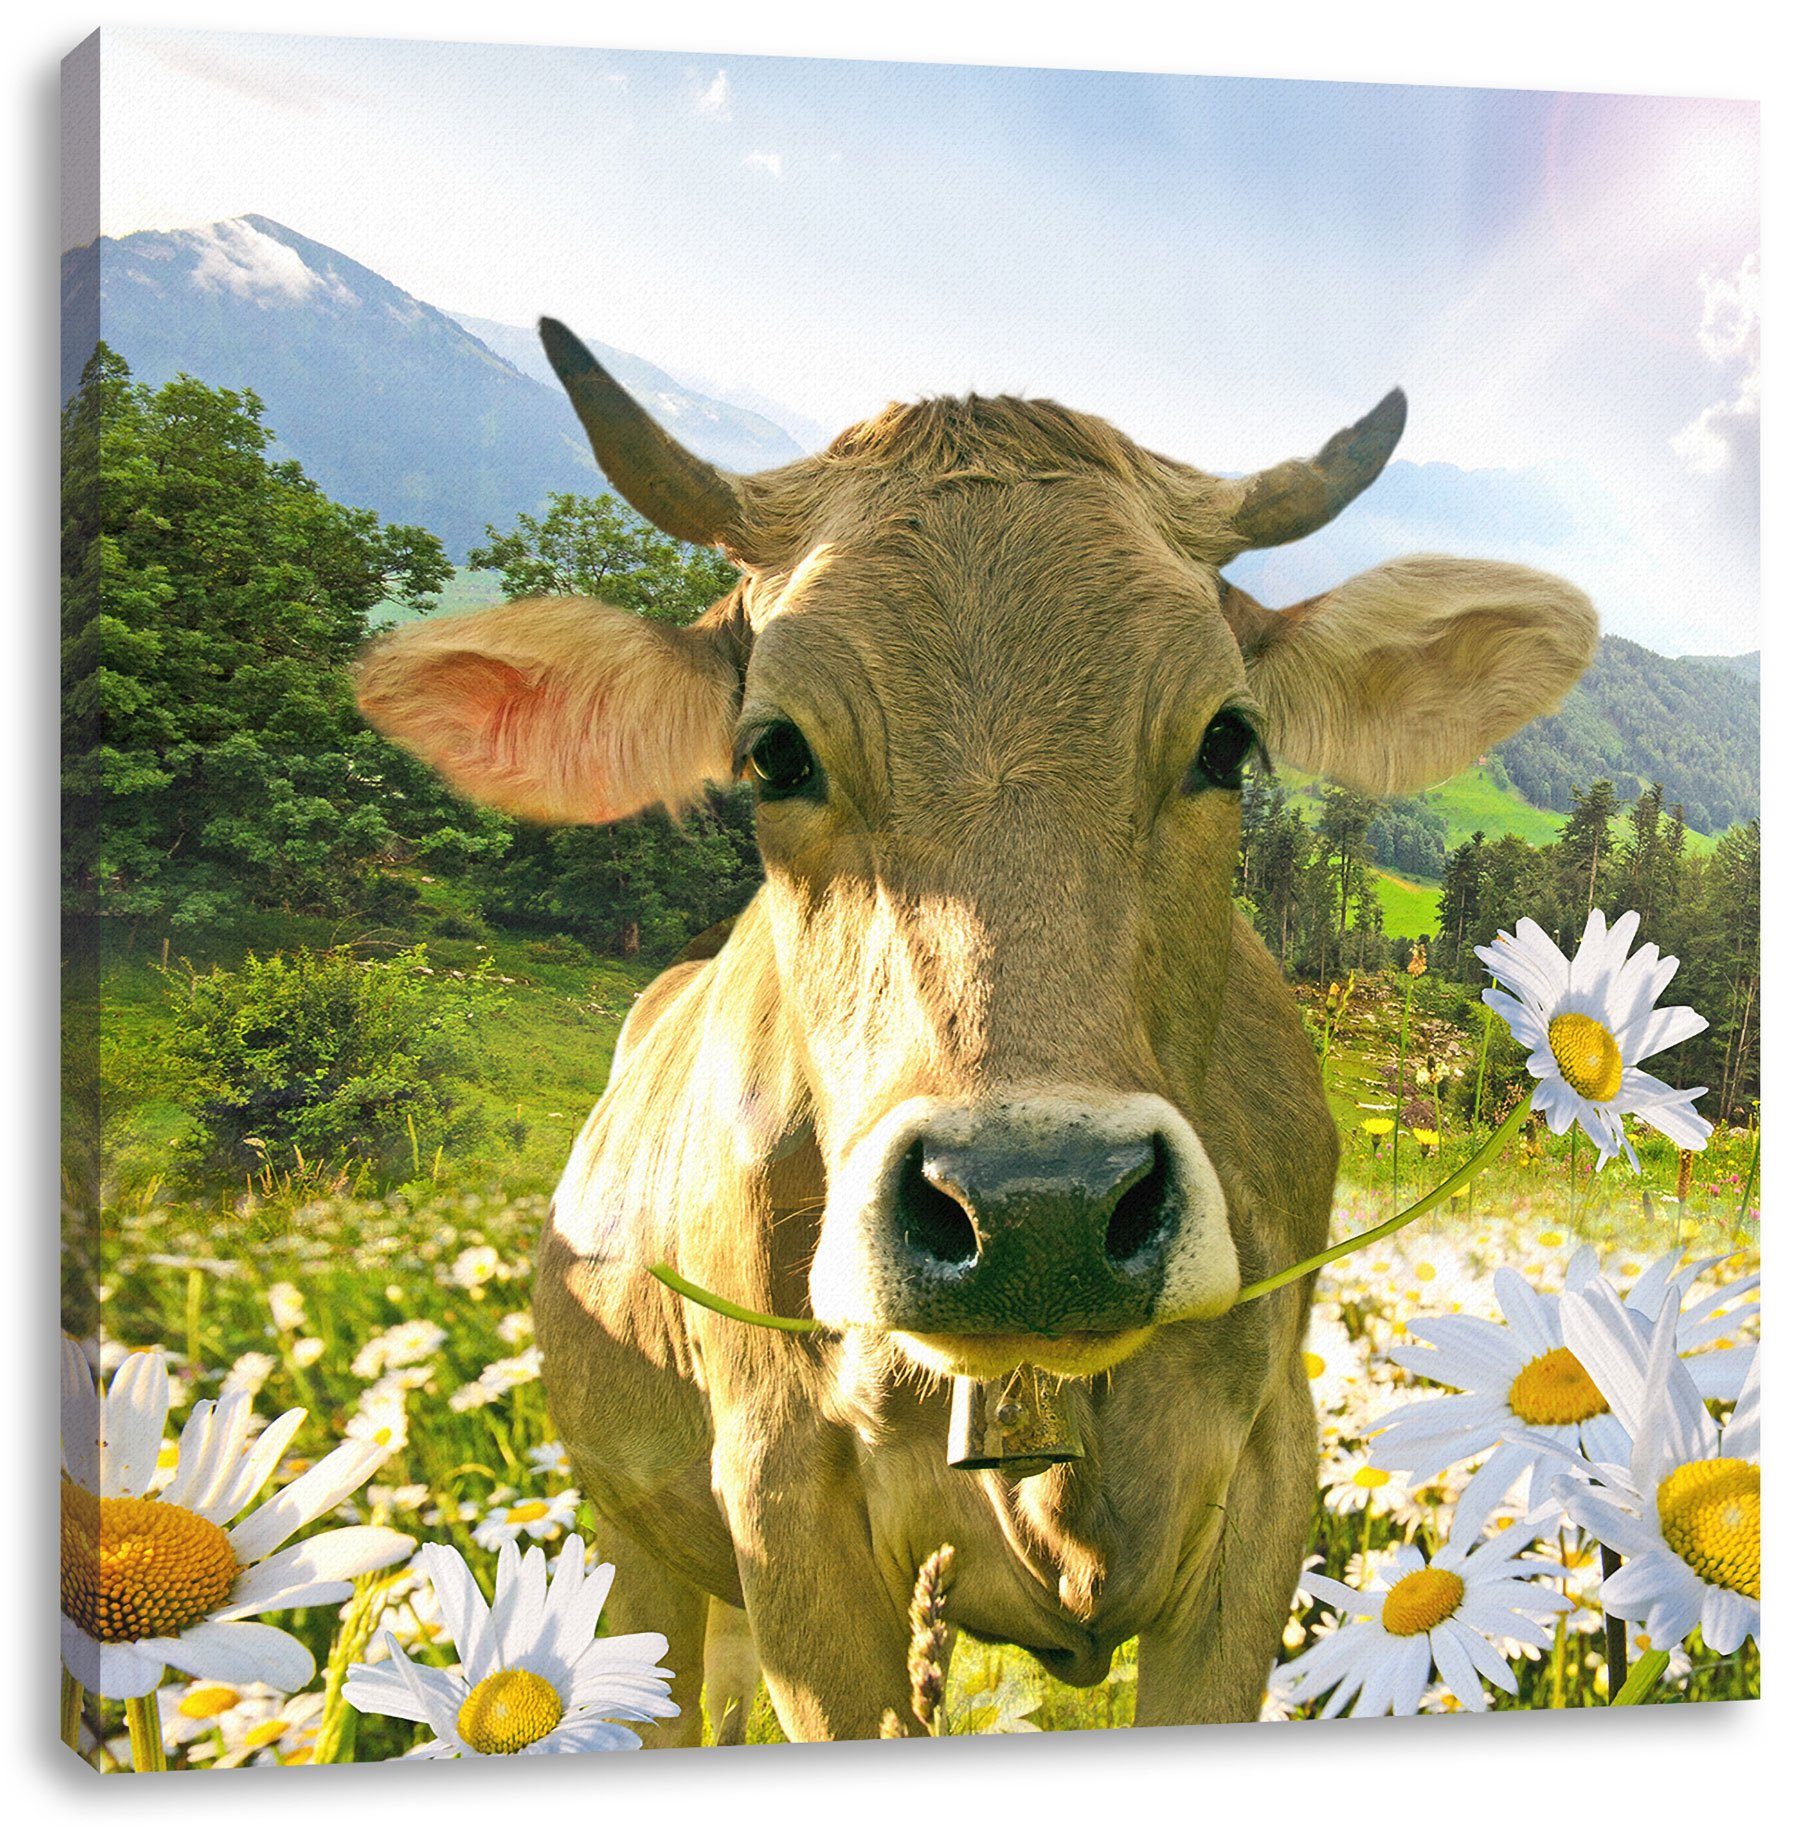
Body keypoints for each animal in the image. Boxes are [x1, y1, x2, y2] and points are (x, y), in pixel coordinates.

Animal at [357, 321, 1597, 1742]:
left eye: (1228, 740)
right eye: (775, 754)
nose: (1038, 1206)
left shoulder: (1271, 1476)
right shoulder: (782, 1504)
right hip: (634, 1544)